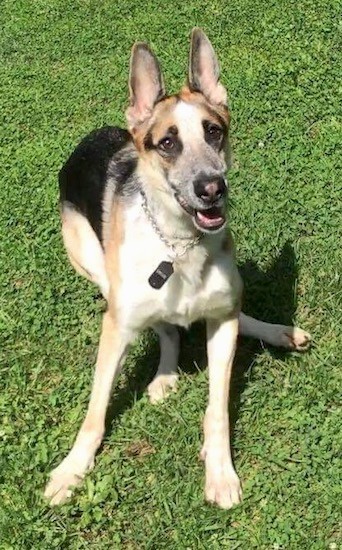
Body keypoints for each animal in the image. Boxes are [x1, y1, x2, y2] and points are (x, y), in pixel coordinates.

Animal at [44, 28, 312, 512]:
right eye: (167, 143)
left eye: (214, 132)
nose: (212, 188)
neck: (179, 246)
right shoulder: (116, 327)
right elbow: (94, 410)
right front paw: (72, 468)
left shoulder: (221, 325)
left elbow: (217, 408)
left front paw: (219, 469)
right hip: (93, 265)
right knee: (164, 326)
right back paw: (165, 374)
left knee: (225, 312)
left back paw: (275, 331)